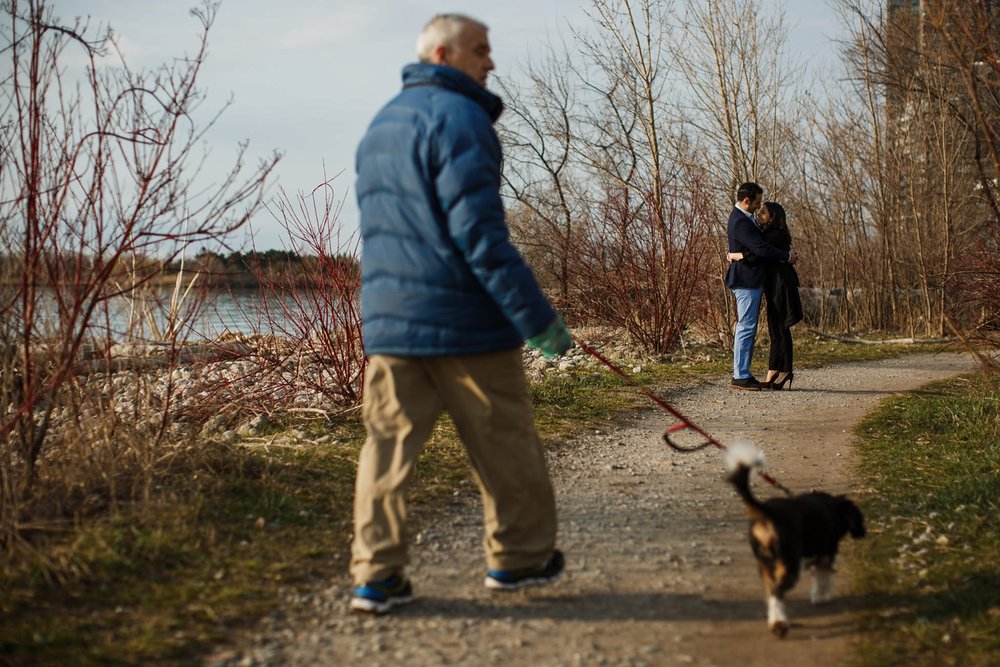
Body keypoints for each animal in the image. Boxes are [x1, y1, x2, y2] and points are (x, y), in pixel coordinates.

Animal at [728, 444, 868, 636]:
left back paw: (775, 620)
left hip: (765, 564)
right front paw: (820, 597)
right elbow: (822, 578)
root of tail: (766, 511)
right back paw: (780, 624)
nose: (864, 533)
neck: (834, 508)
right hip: (789, 564)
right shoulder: (826, 554)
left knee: (771, 592)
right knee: (777, 592)